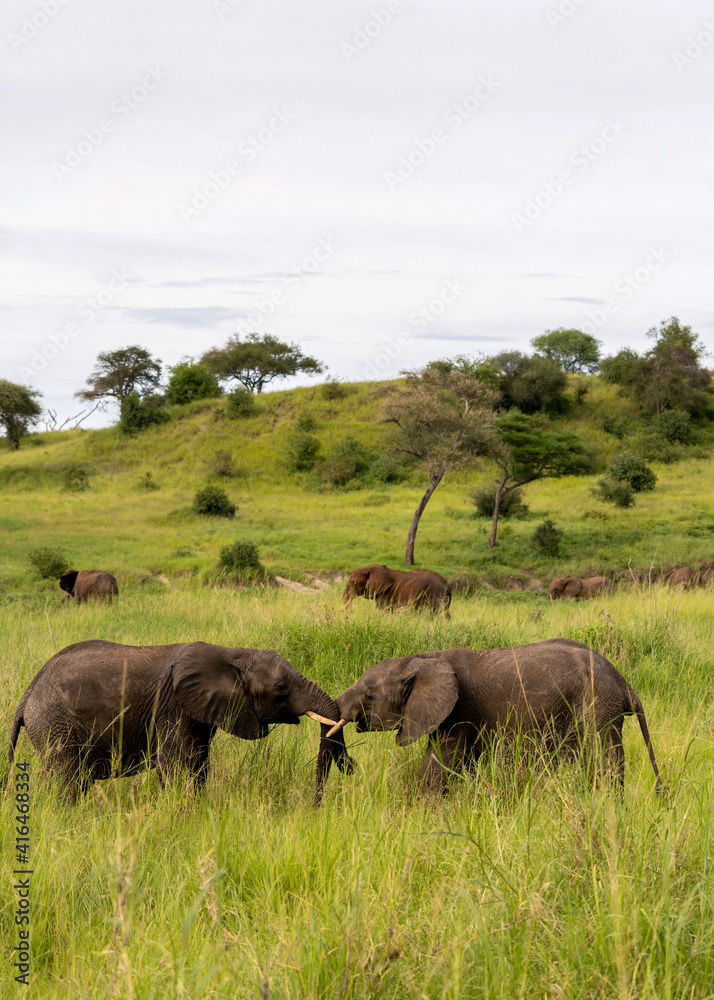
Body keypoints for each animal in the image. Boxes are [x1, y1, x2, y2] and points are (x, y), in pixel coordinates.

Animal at [6, 640, 352, 802]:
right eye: (281, 688)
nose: (350, 767)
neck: (232, 652)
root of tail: (26, 695)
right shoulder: (172, 705)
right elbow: (173, 763)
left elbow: (199, 764)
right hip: (55, 726)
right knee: (69, 779)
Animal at [317, 639, 662, 797]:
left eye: (368, 694)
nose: (350, 767)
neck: (422, 659)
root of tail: (623, 680)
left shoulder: (459, 712)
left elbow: (438, 766)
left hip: (598, 707)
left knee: (604, 761)